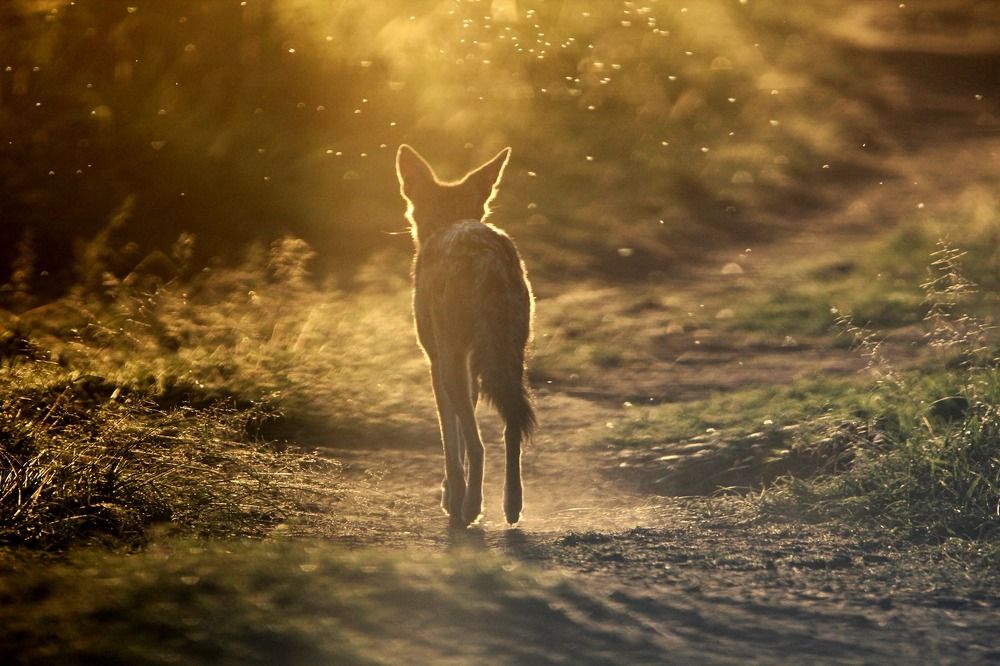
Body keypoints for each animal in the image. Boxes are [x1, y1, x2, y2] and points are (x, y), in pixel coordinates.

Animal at [395, 144, 535, 528]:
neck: (446, 221)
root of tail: (487, 257)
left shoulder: (439, 361)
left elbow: (452, 443)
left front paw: (452, 497)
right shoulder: (471, 366)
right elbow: (460, 432)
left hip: (455, 365)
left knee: (479, 444)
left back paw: (470, 509)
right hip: (511, 359)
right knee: (511, 430)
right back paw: (512, 506)